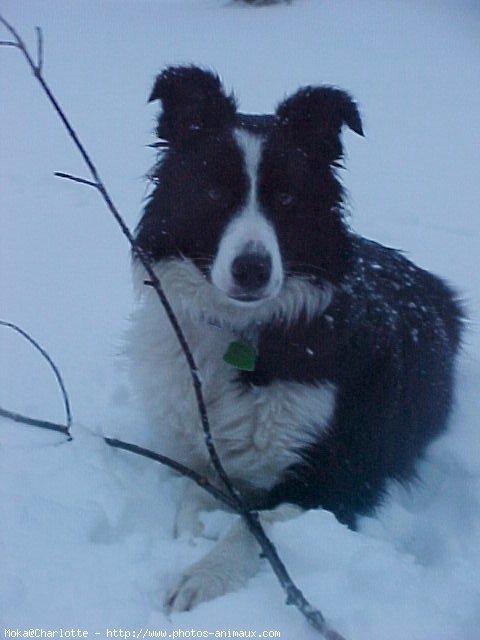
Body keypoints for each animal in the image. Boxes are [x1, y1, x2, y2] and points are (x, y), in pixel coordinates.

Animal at [127, 67, 462, 612]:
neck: (243, 329)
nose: (252, 269)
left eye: (286, 199)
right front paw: (194, 536)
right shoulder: (203, 451)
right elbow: (197, 495)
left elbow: (257, 525)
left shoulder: (337, 480)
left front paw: (203, 574)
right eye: (214, 194)